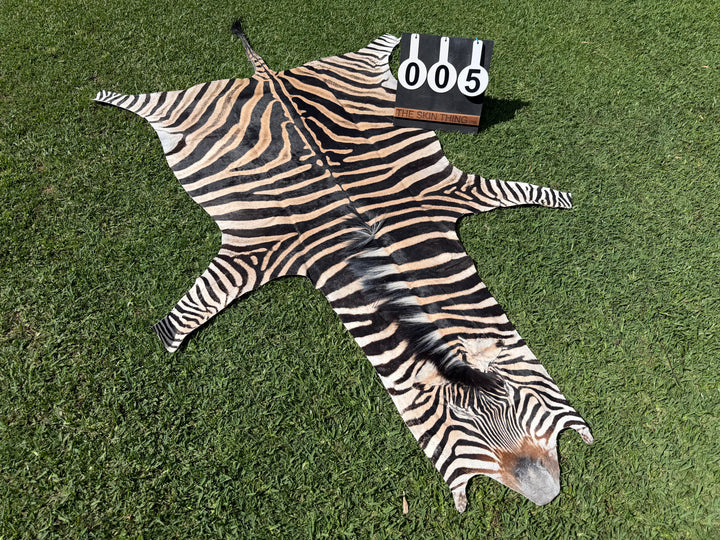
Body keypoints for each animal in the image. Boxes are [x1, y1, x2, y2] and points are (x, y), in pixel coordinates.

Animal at [95, 21, 592, 512]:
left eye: (516, 400)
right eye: (460, 429)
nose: (547, 496)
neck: (384, 258)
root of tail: (270, 77)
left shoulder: (446, 193)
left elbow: (526, 191)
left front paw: (566, 198)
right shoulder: (262, 249)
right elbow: (196, 306)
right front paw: (166, 343)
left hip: (355, 71)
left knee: (378, 45)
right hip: (182, 104)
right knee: (141, 100)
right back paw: (105, 95)